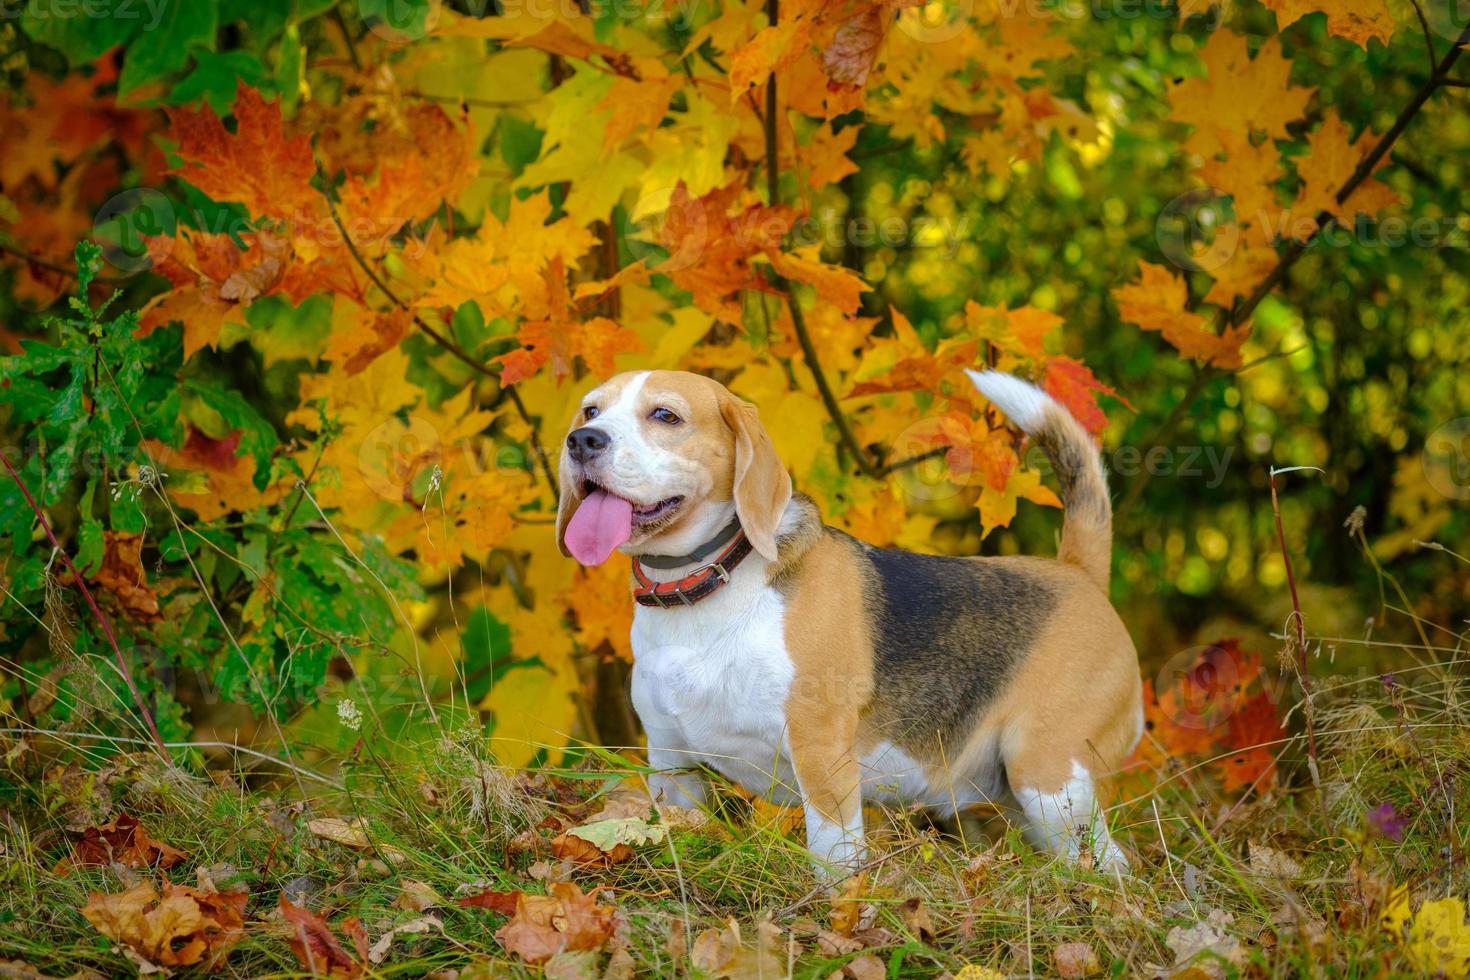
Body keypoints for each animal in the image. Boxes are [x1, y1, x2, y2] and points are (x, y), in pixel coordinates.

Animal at [555, 371, 1140, 875]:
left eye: (665, 415)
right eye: (591, 409)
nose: (582, 440)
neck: (706, 587)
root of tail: (1078, 572)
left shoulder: (822, 757)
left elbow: (833, 859)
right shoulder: (672, 765)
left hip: (1050, 777)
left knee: (1111, 865)